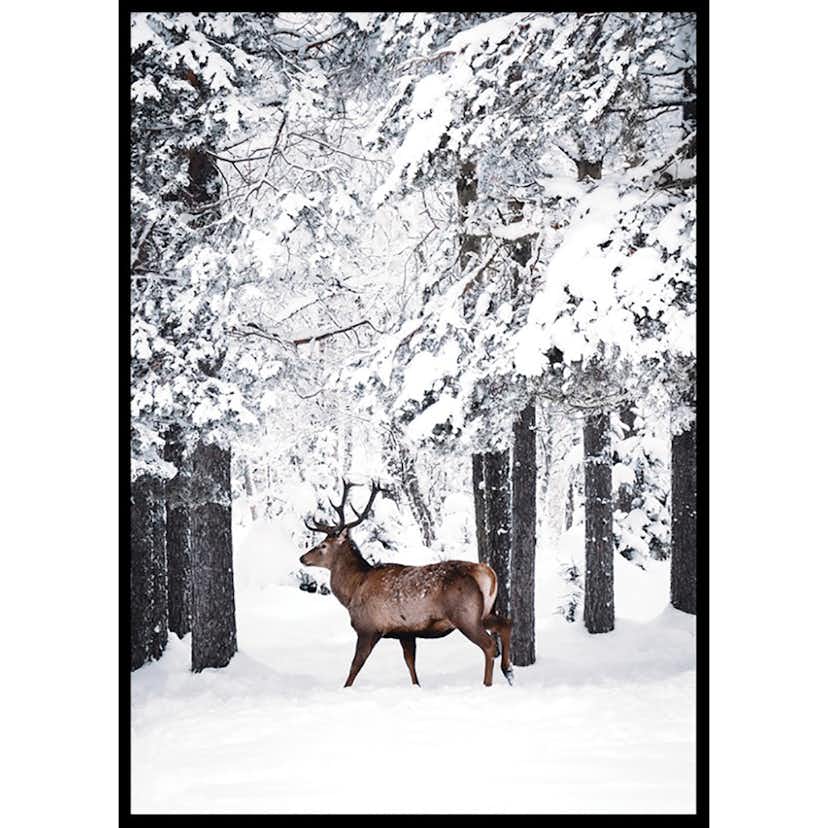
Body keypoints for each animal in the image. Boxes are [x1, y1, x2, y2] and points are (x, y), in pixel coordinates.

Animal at [299, 479, 514, 688]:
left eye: (323, 546)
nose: (302, 558)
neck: (353, 590)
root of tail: (487, 573)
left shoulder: (368, 627)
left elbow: (355, 666)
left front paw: (345, 689)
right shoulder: (405, 632)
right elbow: (411, 664)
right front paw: (416, 687)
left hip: (464, 614)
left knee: (489, 645)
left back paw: (488, 683)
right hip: (484, 611)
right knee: (506, 623)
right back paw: (508, 671)